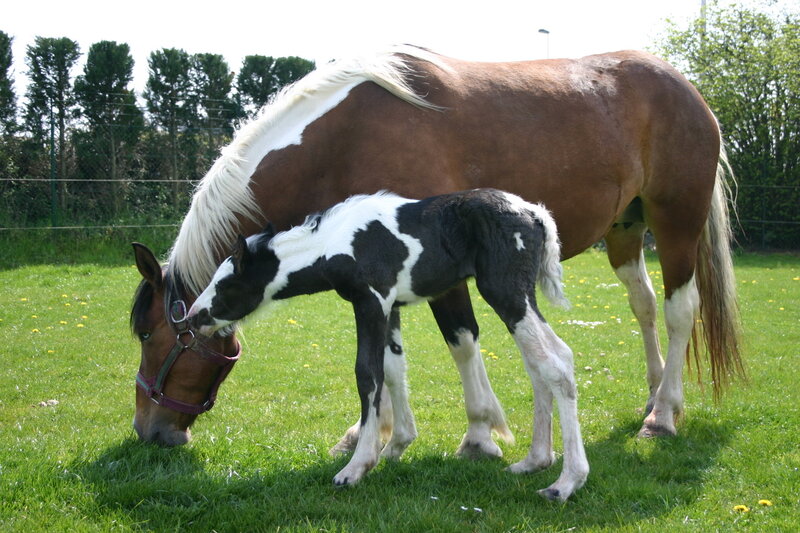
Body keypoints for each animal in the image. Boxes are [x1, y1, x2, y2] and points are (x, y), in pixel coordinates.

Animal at [131, 45, 742, 467]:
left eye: (150, 335)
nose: (149, 431)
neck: (346, 136)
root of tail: (685, 87)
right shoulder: (380, 278)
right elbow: (388, 360)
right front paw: (378, 435)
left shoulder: (438, 271)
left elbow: (461, 343)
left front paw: (479, 433)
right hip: (624, 232)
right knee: (643, 305)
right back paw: (655, 395)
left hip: (676, 223)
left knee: (678, 311)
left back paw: (663, 417)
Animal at [185, 188, 587, 499]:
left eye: (227, 284)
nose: (193, 317)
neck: (338, 242)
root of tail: (535, 214)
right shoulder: (390, 307)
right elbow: (392, 368)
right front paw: (396, 446)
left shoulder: (371, 300)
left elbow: (367, 373)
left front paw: (356, 467)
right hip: (518, 297)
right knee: (543, 361)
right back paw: (534, 462)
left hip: (506, 292)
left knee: (554, 362)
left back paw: (565, 483)